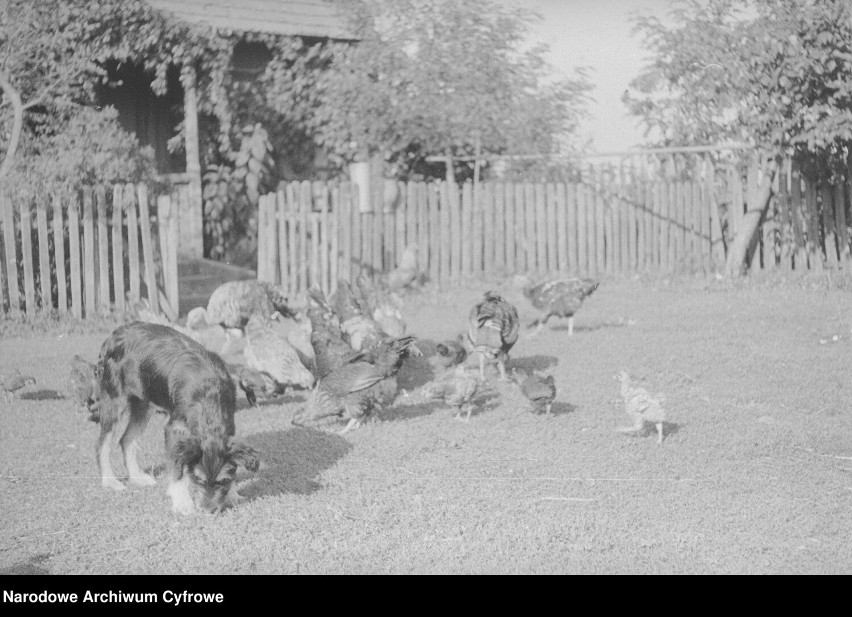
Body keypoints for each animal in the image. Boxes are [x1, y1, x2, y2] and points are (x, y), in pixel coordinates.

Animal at [95, 322, 260, 516]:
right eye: (198, 479)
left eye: (222, 481)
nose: (207, 511)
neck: (209, 394)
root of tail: (115, 333)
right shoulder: (175, 429)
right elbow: (177, 469)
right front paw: (182, 502)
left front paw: (233, 494)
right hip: (115, 399)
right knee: (102, 444)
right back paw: (110, 481)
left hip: (144, 403)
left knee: (127, 439)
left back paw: (137, 477)